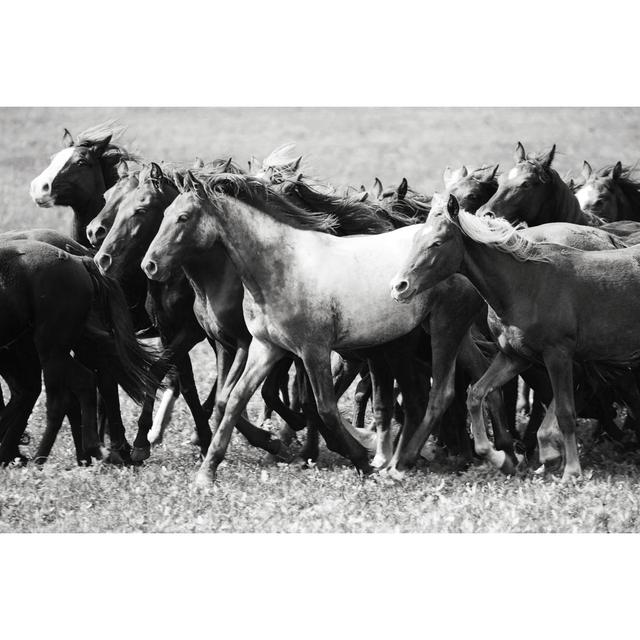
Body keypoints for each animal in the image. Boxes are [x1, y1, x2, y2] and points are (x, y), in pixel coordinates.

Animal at [141, 172, 520, 488]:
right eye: (164, 214)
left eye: (184, 218)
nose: (150, 265)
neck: (281, 267)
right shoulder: (265, 347)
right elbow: (234, 400)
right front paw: (207, 474)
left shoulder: (313, 350)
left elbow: (323, 407)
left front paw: (362, 461)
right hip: (438, 336)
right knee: (471, 381)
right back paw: (500, 455)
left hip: (443, 327)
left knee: (441, 393)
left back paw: (403, 464)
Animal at [390, 194, 640, 480]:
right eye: (415, 239)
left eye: (437, 242)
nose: (399, 287)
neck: (525, 285)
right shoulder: (515, 356)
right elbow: (476, 394)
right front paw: (501, 457)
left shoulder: (558, 355)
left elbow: (566, 411)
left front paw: (571, 471)